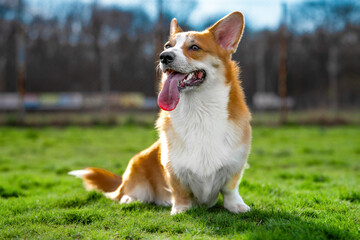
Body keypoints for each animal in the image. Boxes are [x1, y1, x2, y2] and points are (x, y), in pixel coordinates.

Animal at [69, 11, 252, 215]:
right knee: (127, 192)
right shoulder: (173, 167)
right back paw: (130, 199)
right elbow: (180, 190)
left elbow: (230, 188)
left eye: (194, 47)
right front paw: (180, 210)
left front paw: (236, 206)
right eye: (167, 46)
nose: (164, 56)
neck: (198, 109)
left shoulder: (236, 163)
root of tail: (121, 181)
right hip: (137, 163)